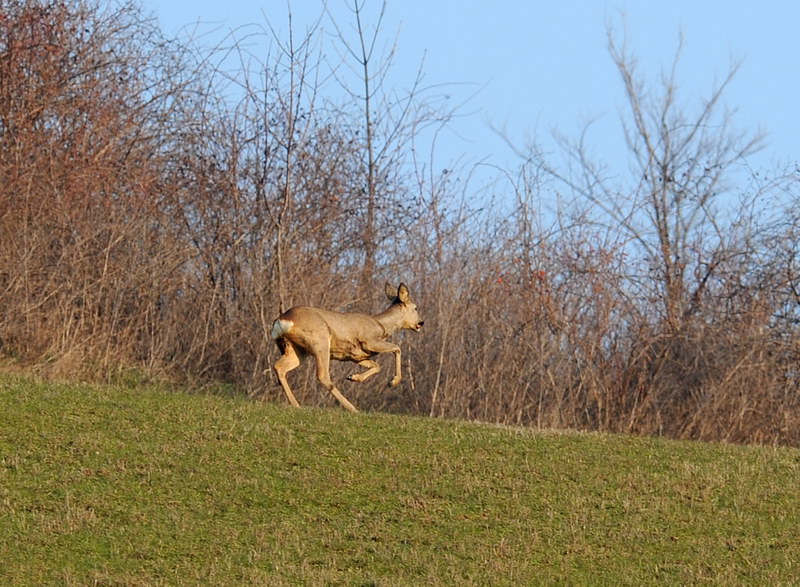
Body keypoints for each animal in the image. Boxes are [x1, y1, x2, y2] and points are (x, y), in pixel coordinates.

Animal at [270, 284, 424, 414]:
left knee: (279, 366)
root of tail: (282, 320)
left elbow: (376, 366)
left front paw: (353, 377)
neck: (382, 327)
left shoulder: (356, 356)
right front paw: (393, 382)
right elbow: (397, 348)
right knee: (322, 375)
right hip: (320, 341)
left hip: (296, 349)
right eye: (416, 308)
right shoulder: (369, 340)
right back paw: (351, 408)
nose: (421, 322)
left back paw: (296, 404)